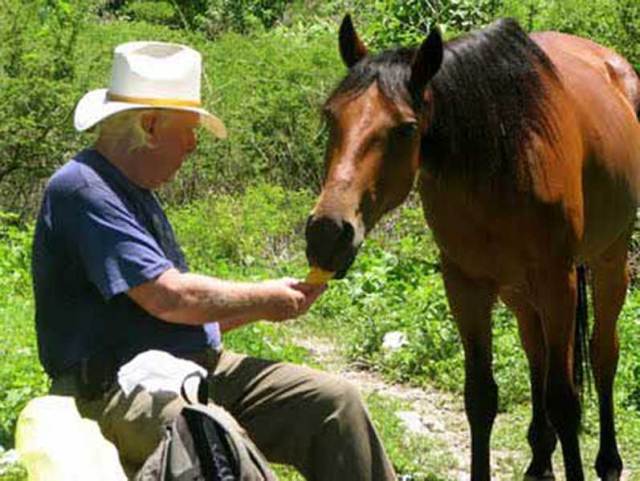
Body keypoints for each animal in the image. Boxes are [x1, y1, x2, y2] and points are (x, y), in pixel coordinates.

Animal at [305, 14, 640, 481]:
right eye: (330, 116)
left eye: (406, 128)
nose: (327, 232)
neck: (502, 155)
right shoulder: (464, 284)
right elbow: (481, 397)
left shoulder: (557, 281)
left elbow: (564, 399)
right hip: (519, 289)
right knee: (536, 353)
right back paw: (539, 458)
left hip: (608, 261)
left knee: (602, 352)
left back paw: (607, 462)